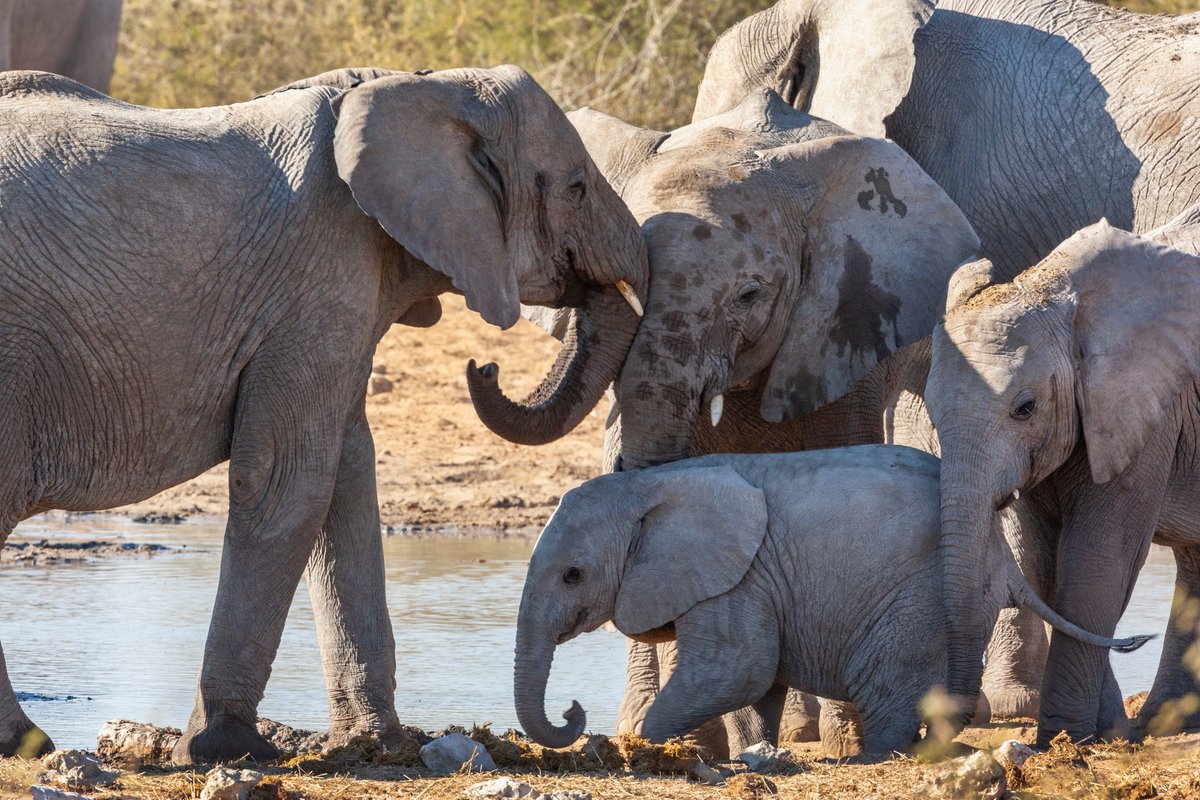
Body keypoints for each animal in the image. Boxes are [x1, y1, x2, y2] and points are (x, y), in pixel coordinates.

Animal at [0, 66, 646, 761]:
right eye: (577, 187)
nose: (484, 368)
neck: (419, 86)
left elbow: (348, 475)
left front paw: (383, 745)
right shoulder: (322, 277)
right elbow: (289, 481)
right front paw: (223, 748)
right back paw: (28, 743)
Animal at [513, 446, 1148, 756]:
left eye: (572, 576)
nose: (573, 711)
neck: (648, 486)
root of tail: (999, 552)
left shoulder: (739, 578)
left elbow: (737, 669)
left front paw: (652, 746)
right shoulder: (753, 580)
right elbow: (756, 685)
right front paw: (755, 753)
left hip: (916, 596)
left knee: (885, 682)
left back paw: (875, 758)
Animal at [925, 208, 1200, 746]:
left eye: (1025, 408)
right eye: (931, 409)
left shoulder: (1145, 407)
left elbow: (1097, 558)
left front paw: (1064, 738)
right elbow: (1043, 561)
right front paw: (1105, 734)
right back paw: (1170, 722)